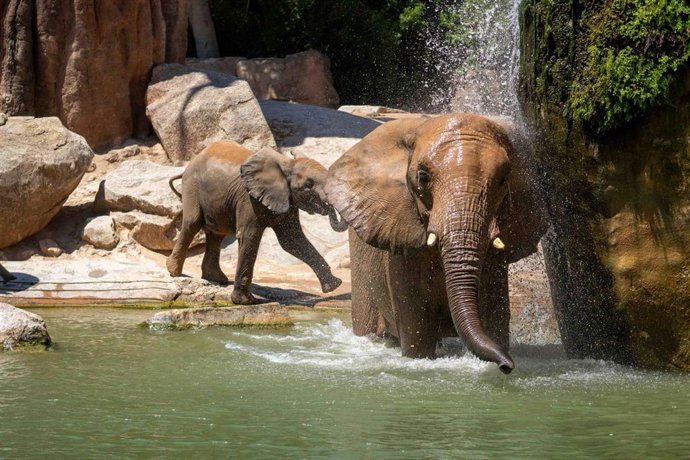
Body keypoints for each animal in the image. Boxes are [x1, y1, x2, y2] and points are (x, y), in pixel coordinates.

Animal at [167, 140, 347, 305]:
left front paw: (334, 285)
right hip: (192, 186)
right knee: (193, 223)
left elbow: (292, 241)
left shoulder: (288, 200)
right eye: (309, 184)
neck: (287, 165)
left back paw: (217, 279)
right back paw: (173, 272)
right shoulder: (249, 199)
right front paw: (245, 302)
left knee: (217, 234)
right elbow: (250, 237)